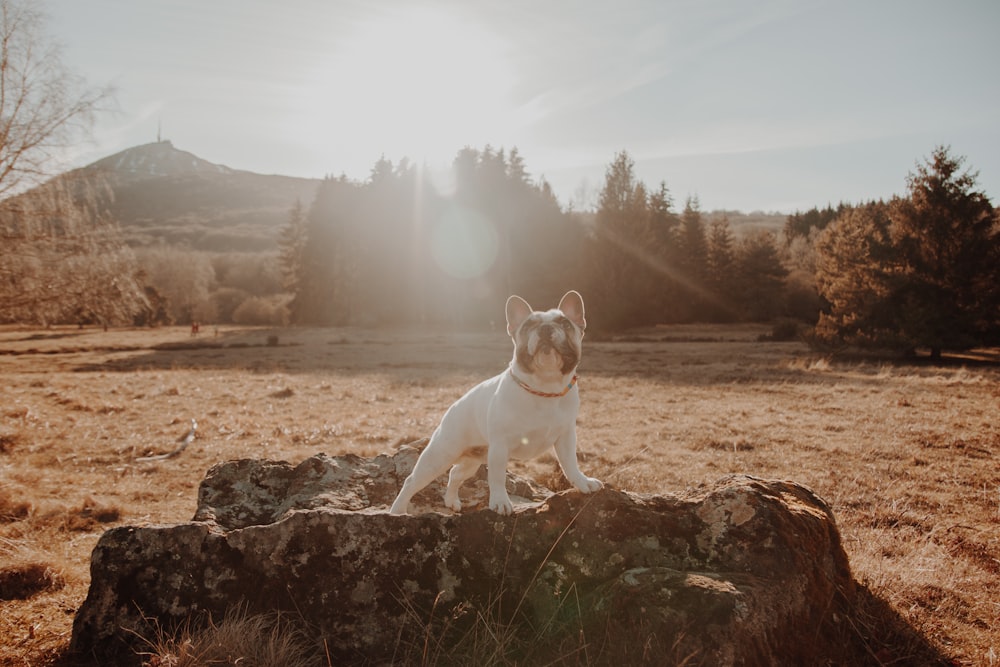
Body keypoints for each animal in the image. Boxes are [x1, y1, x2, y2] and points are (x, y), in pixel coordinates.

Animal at [390, 288, 600, 516]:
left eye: (564, 323)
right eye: (528, 326)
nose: (545, 328)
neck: (545, 386)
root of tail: (452, 408)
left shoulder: (566, 437)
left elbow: (570, 463)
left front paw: (583, 482)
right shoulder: (500, 445)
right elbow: (498, 477)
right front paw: (500, 501)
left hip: (473, 460)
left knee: (455, 474)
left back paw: (451, 501)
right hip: (440, 455)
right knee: (412, 480)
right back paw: (397, 510)